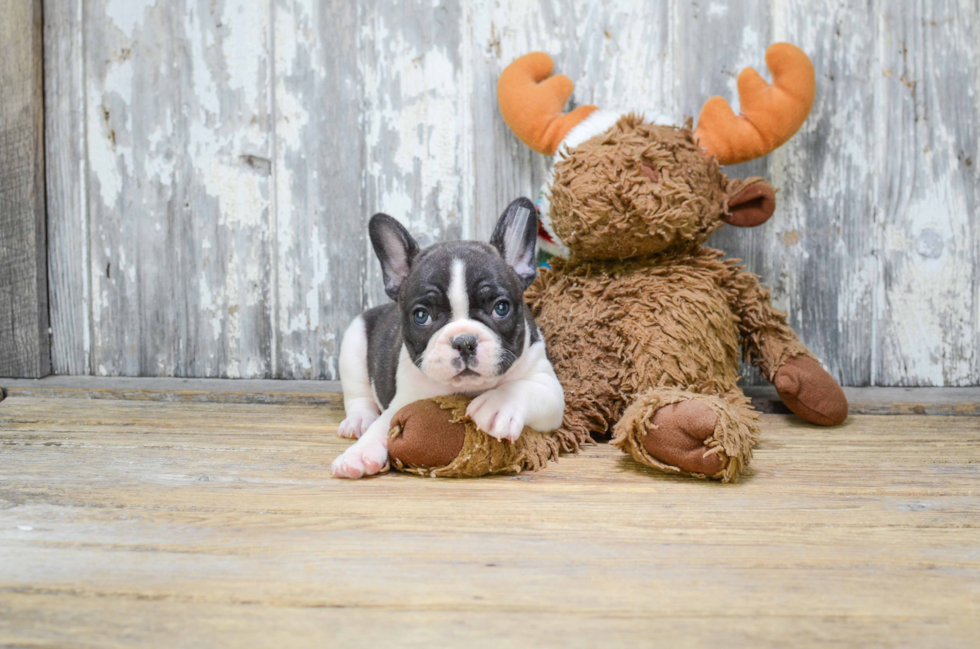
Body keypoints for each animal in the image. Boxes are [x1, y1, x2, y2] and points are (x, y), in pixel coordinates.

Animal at [332, 196, 568, 476]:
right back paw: (359, 421)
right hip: (353, 341)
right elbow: (384, 423)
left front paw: (498, 405)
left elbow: (525, 387)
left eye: (501, 308)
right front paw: (358, 454)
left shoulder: (549, 388)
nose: (464, 342)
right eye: (421, 316)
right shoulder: (405, 399)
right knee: (358, 395)